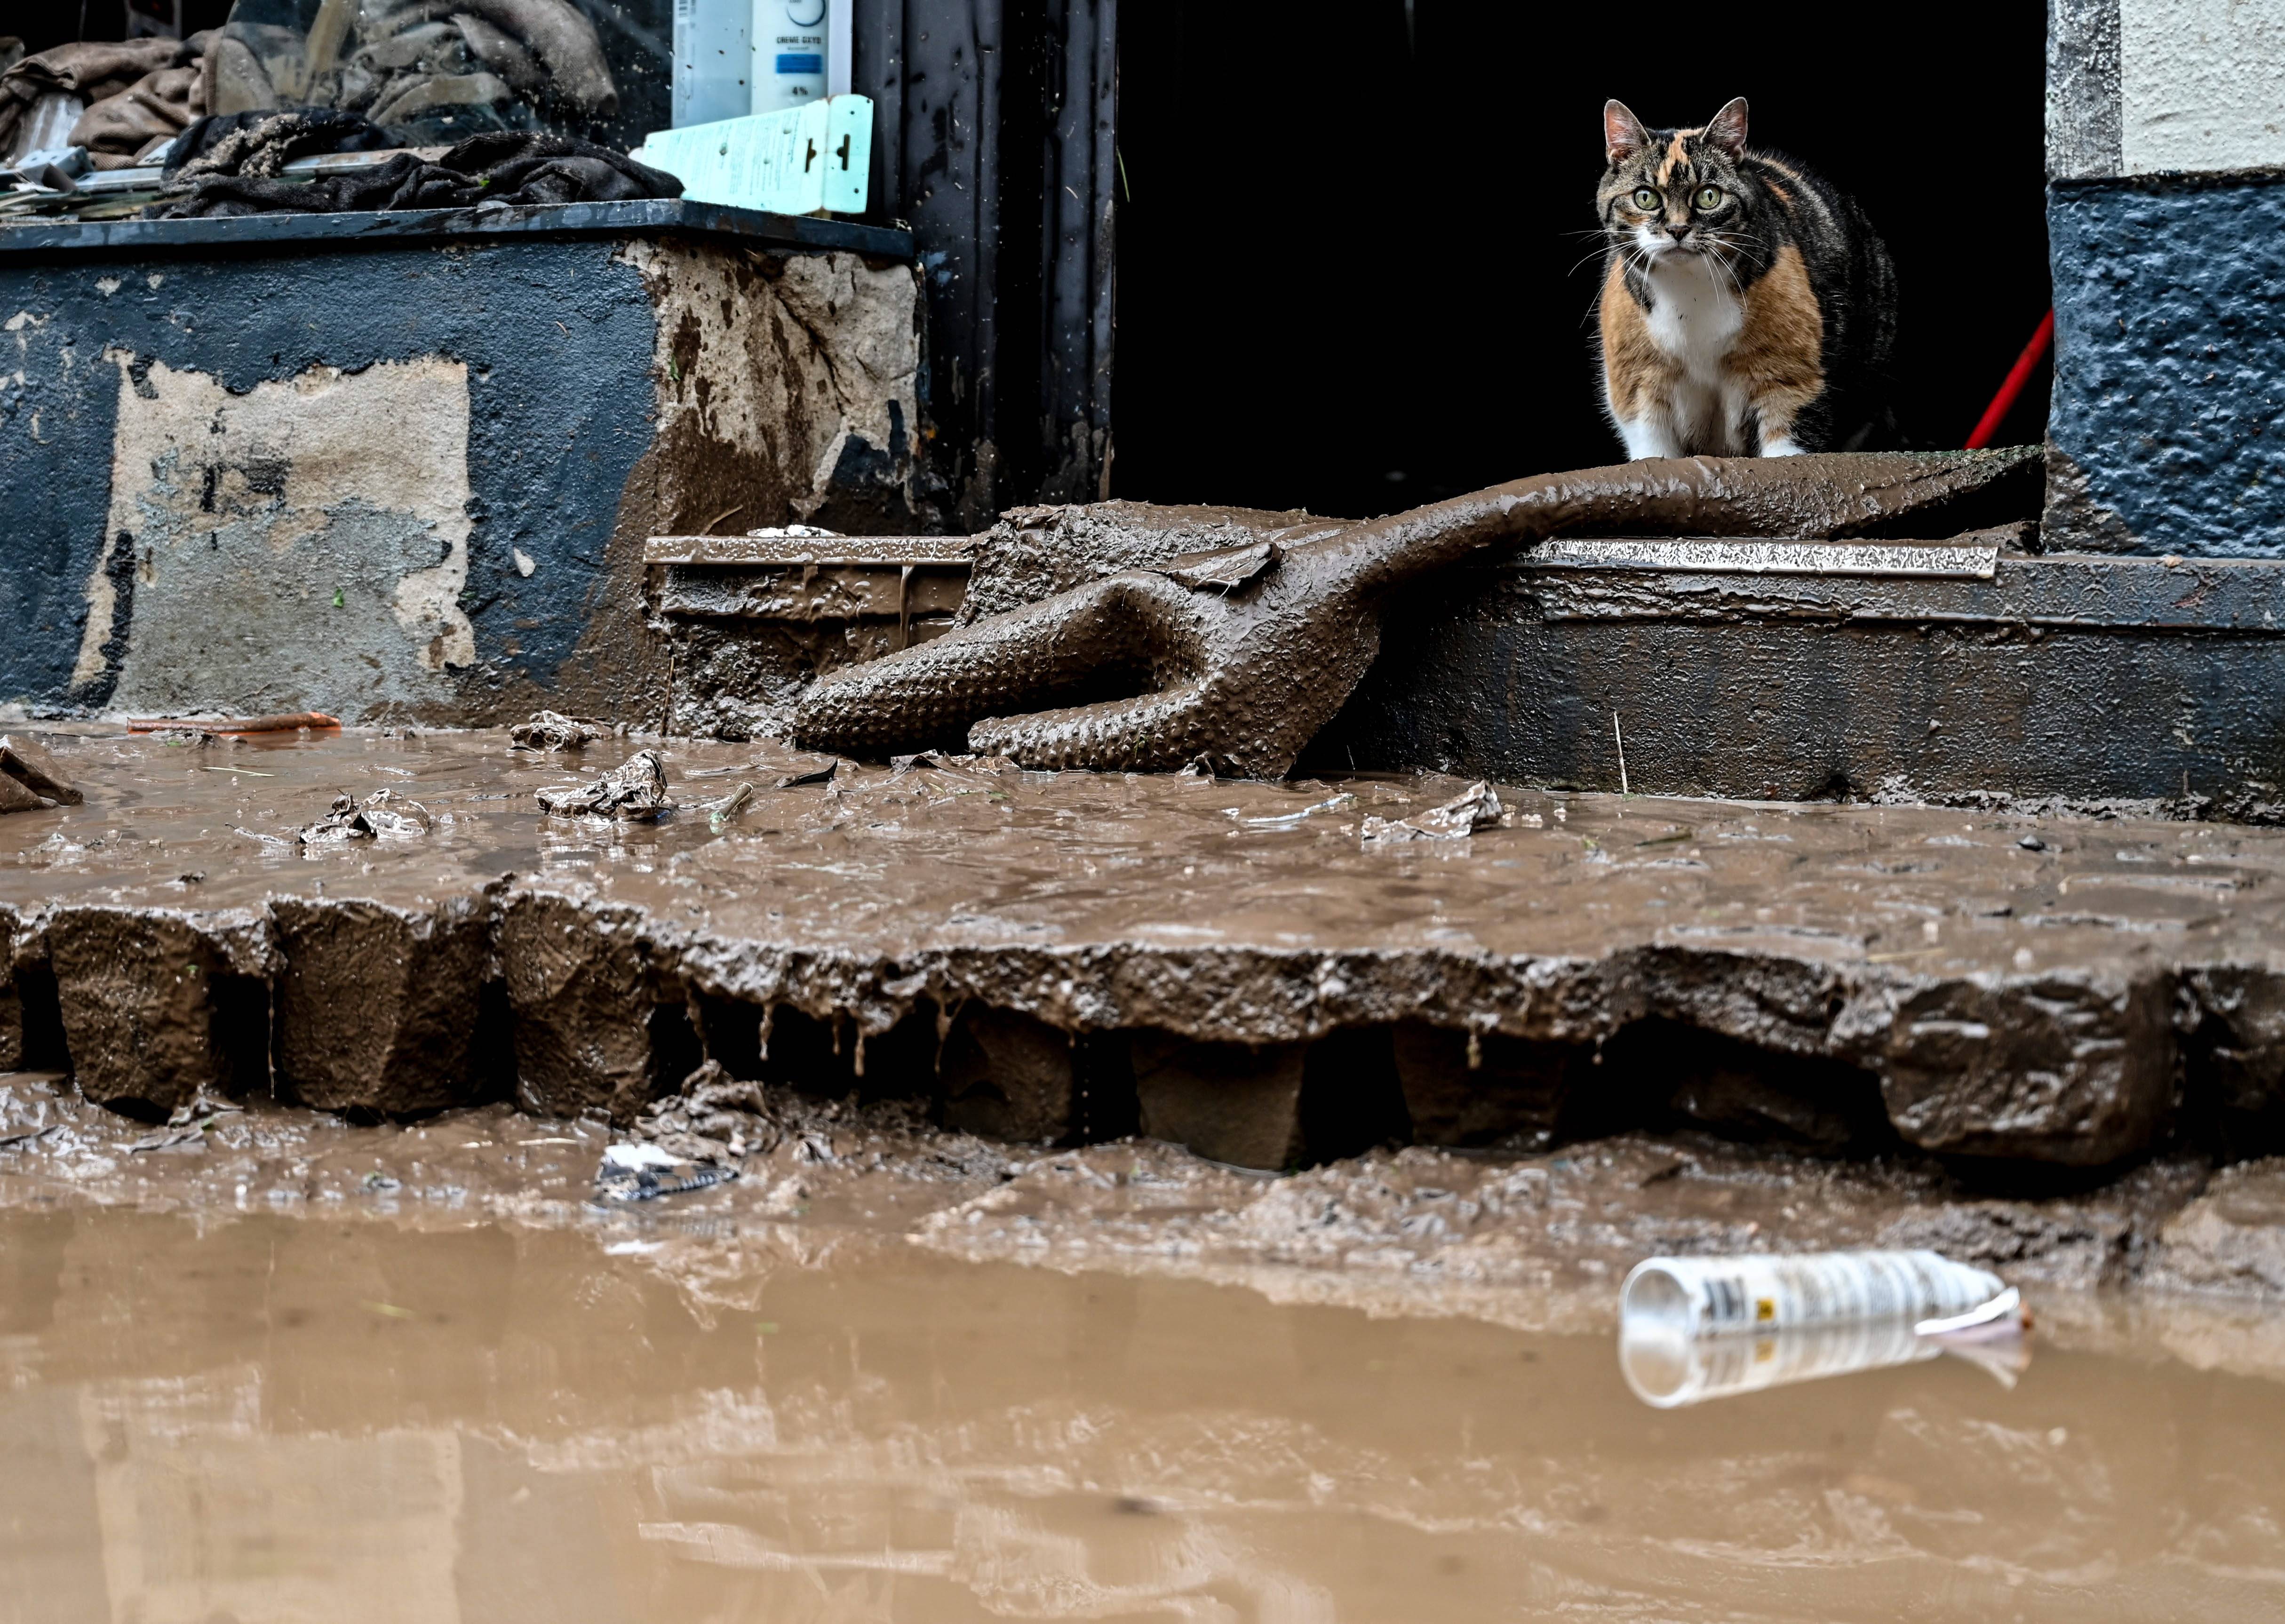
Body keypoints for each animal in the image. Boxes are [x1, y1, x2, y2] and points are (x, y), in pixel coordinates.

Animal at [1590, 97, 1892, 457]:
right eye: (1645, 197)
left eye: (1708, 196)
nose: (1677, 229)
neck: (1688, 295)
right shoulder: (1637, 381)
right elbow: (1652, 446)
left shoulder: (1791, 376)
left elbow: (1786, 444)